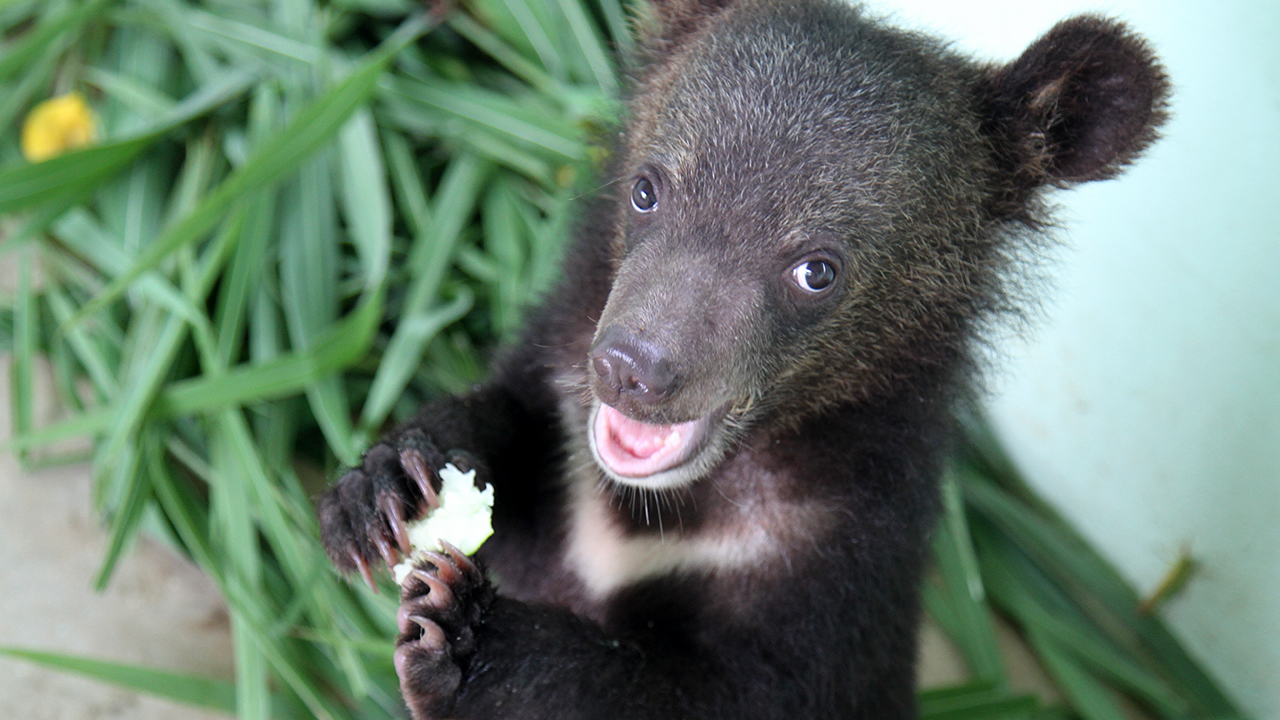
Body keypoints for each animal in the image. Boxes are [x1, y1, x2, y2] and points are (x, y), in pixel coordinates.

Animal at [317, 0, 1170, 717]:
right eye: (647, 190)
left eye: (817, 270)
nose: (631, 369)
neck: (671, 503)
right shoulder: (559, 374)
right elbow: (509, 435)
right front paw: (386, 491)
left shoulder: (833, 559)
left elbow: (721, 693)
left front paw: (463, 631)